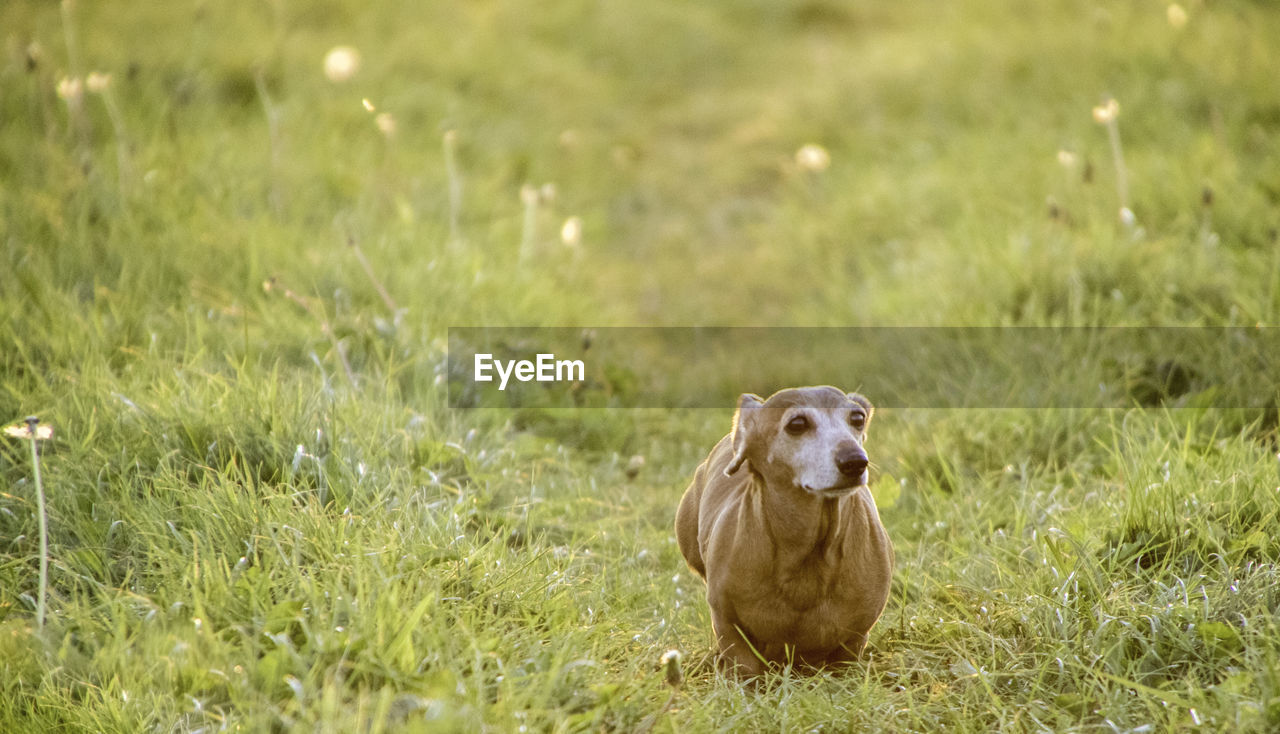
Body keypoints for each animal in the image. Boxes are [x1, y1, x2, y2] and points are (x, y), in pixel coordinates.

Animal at [675, 386, 896, 671]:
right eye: (797, 424)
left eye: (857, 418)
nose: (855, 461)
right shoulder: (727, 622)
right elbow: (744, 662)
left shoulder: (856, 636)